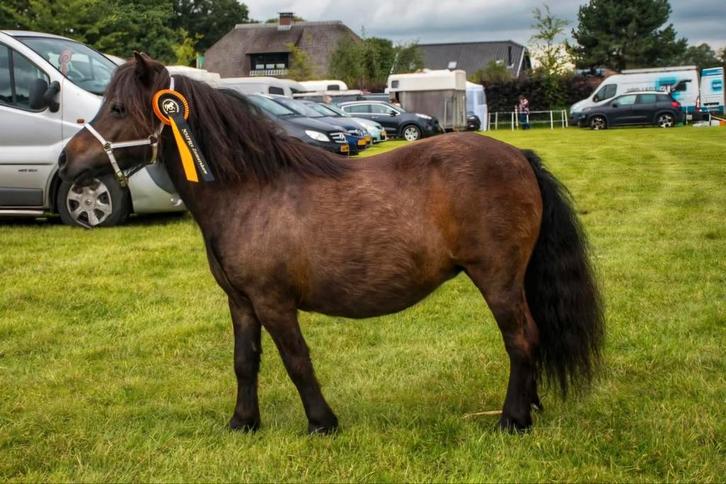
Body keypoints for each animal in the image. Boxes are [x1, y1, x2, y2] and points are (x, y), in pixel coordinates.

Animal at [59, 53, 604, 434]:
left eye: (118, 108)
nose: (66, 162)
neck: (251, 191)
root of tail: (518, 156)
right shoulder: (241, 303)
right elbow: (244, 362)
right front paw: (243, 423)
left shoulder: (274, 303)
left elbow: (297, 361)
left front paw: (322, 422)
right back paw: (528, 407)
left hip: (498, 279)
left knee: (521, 338)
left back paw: (513, 419)